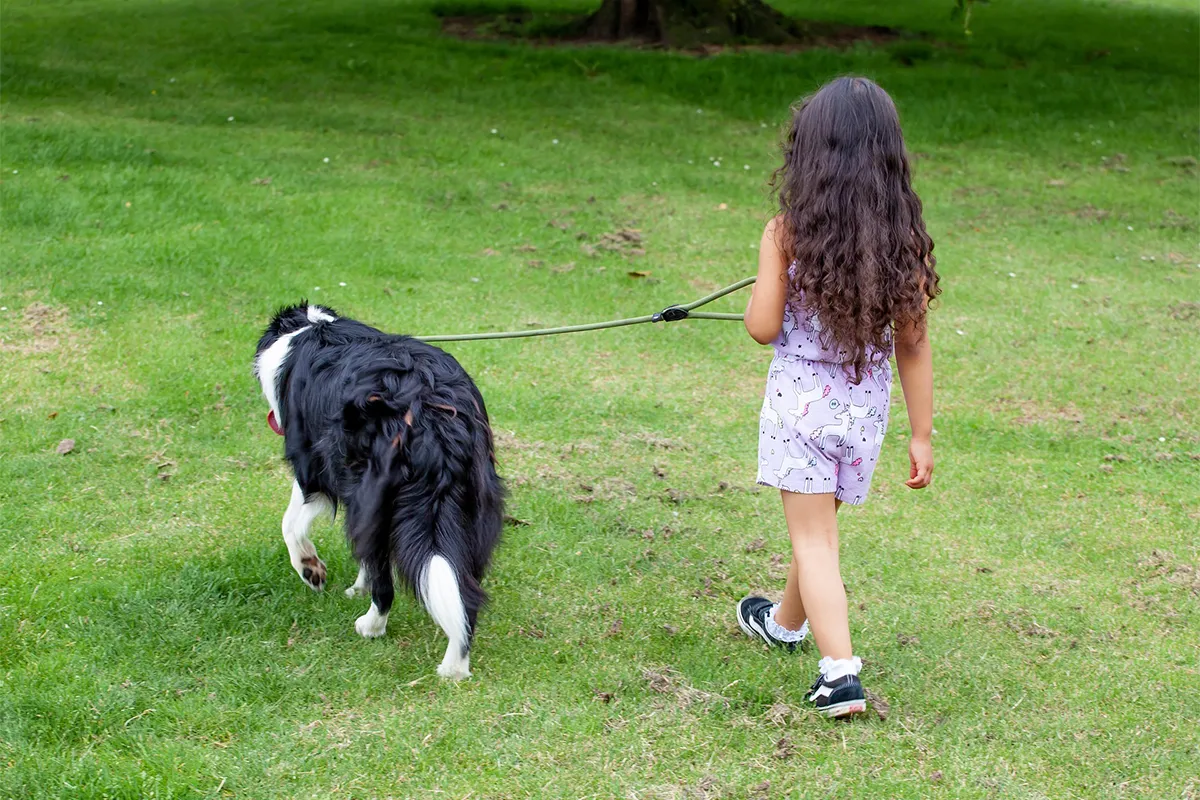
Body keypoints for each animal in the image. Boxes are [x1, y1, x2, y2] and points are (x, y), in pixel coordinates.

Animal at [255, 303, 504, 681]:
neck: (310, 327)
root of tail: (428, 404)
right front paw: (356, 585)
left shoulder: (313, 471)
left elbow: (291, 524)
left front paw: (311, 570)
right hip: (475, 501)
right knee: (465, 588)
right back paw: (455, 665)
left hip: (372, 490)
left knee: (385, 580)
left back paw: (371, 626)